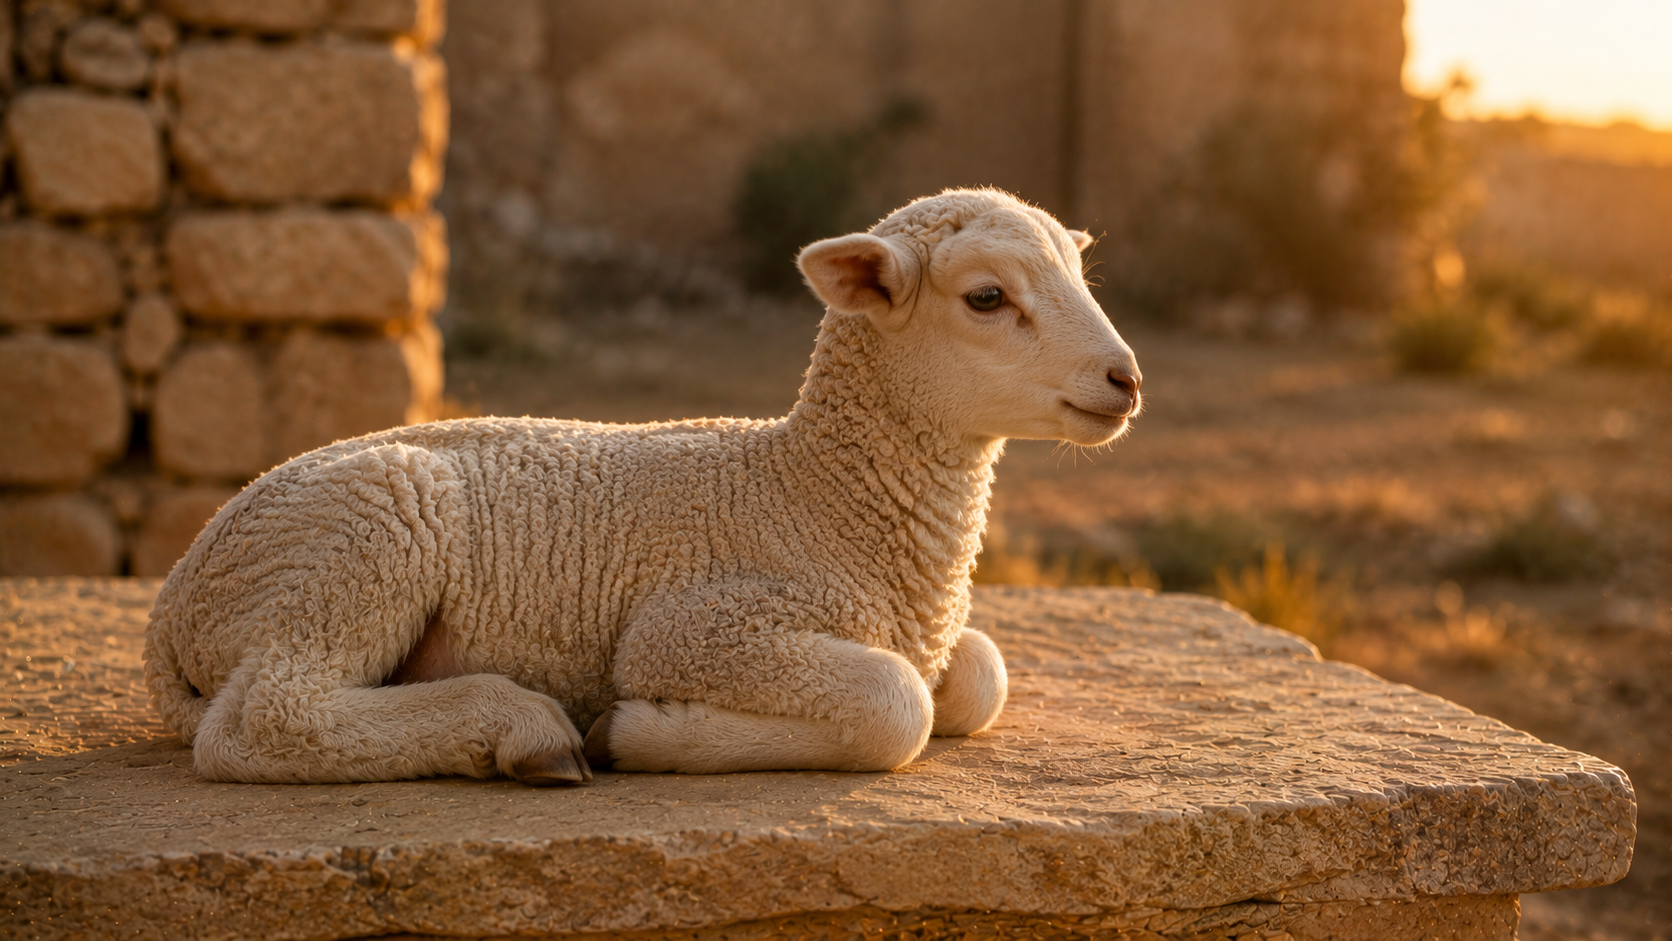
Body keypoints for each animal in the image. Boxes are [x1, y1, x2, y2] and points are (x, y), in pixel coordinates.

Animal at [143, 188, 1142, 786]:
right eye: (986, 297)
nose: (1126, 378)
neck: (815, 493)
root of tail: (175, 602)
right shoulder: (698, 627)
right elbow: (901, 705)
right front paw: (637, 731)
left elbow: (977, 675)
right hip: (360, 536)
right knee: (262, 719)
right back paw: (526, 731)